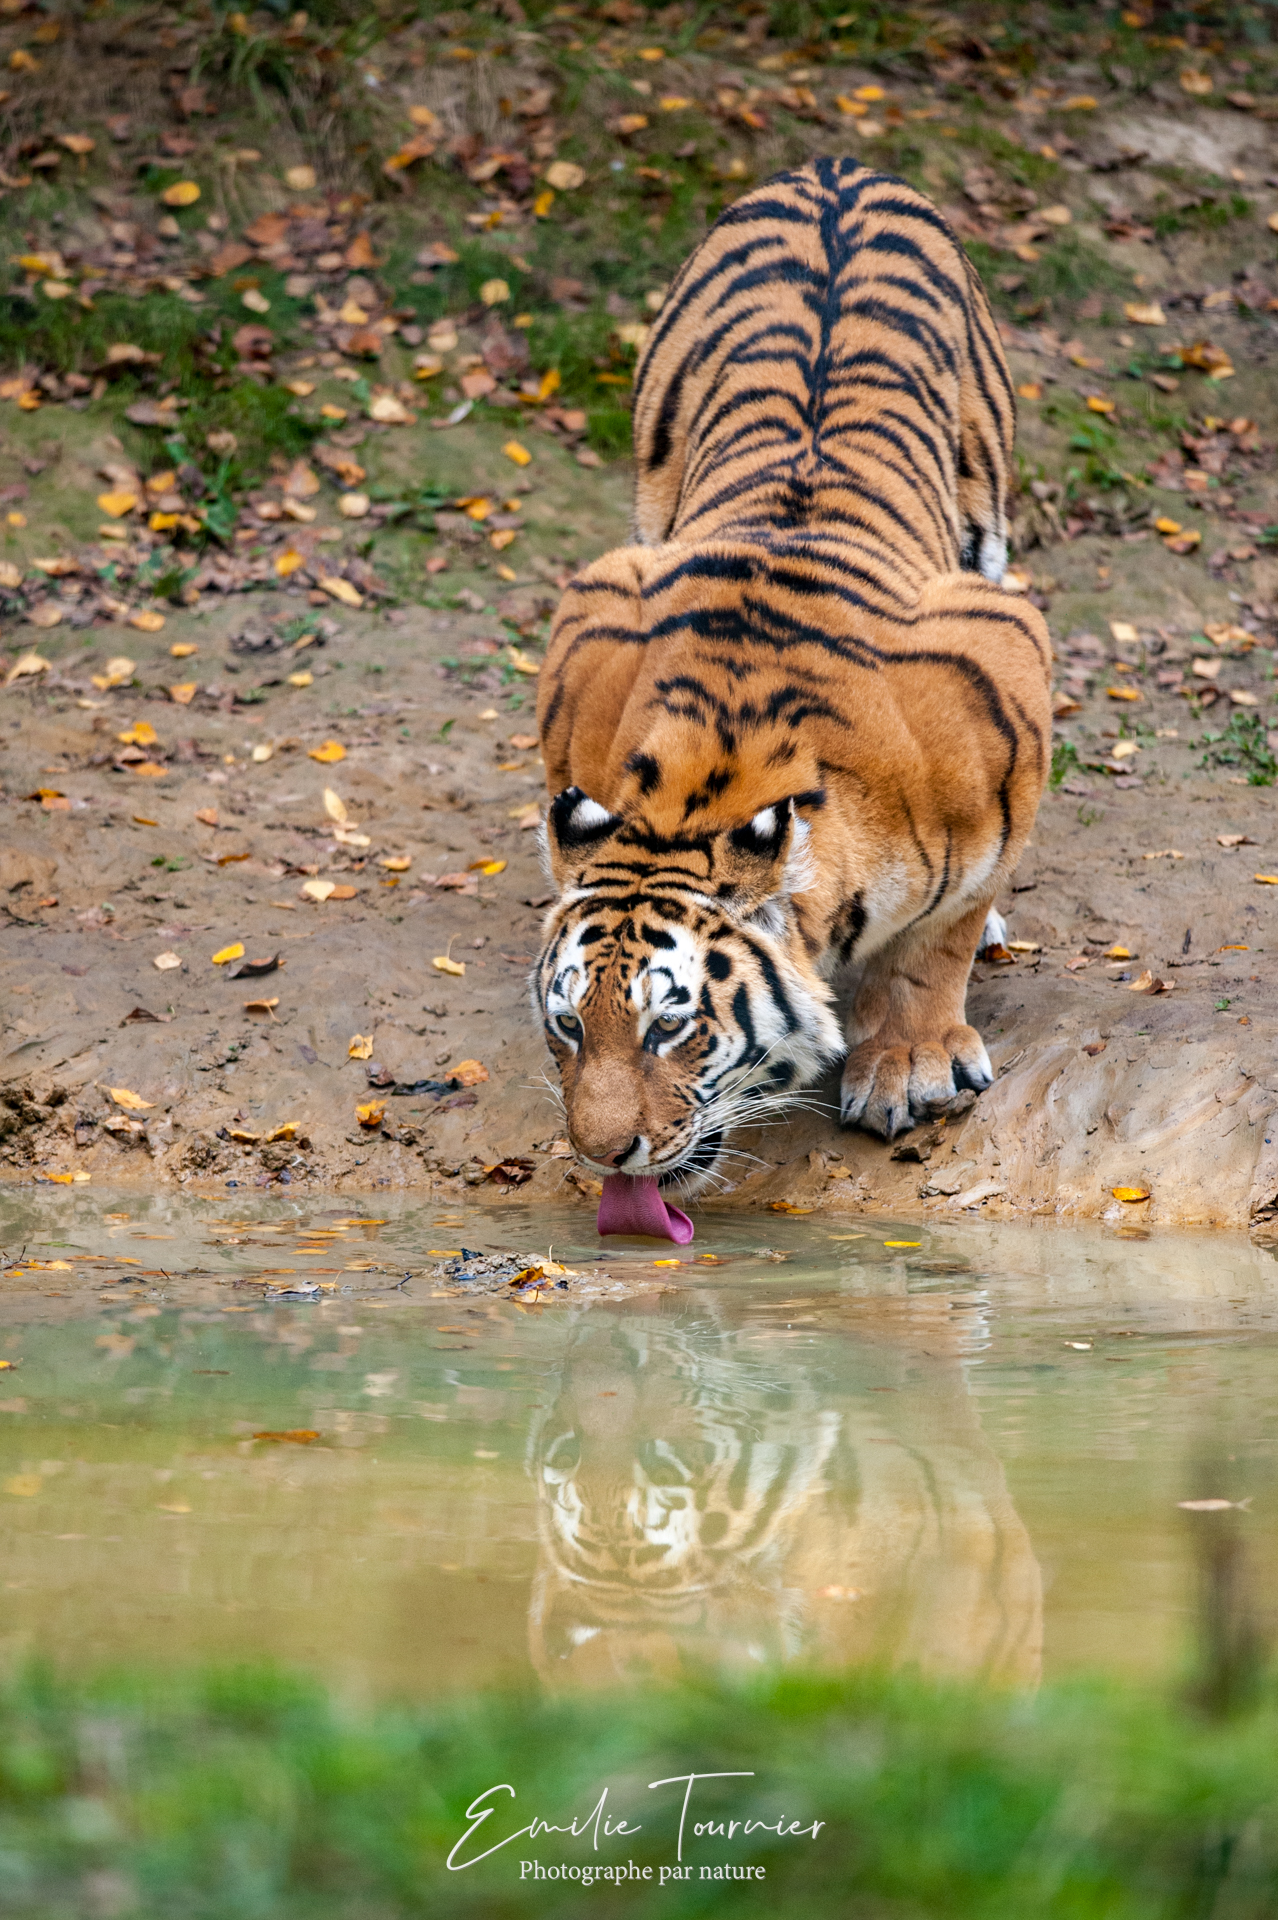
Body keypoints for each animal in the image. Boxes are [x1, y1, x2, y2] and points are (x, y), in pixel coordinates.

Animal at [533, 155, 1051, 1199]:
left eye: (671, 1027)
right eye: (570, 1023)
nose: (603, 1155)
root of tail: (836, 170)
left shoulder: (1005, 659)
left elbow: (941, 928)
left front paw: (911, 1063)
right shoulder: (594, 619)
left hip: (986, 525)